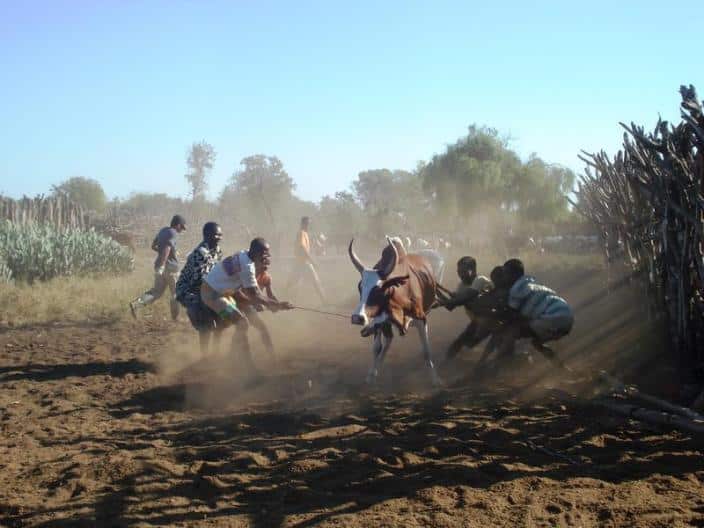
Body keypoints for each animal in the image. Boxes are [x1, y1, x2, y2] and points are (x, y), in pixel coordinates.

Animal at [350, 237, 442, 386]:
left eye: (379, 289)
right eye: (360, 287)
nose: (357, 318)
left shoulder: (421, 319)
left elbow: (426, 351)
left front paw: (435, 379)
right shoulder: (380, 322)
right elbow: (377, 348)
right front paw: (371, 375)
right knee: (387, 341)